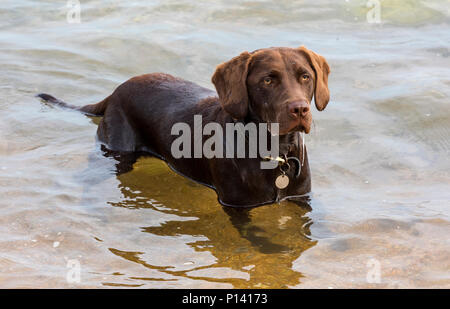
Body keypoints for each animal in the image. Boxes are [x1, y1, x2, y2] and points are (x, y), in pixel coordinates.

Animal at [37, 45, 330, 207]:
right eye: (268, 80)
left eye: (305, 76)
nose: (300, 109)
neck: (275, 150)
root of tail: (115, 91)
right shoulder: (234, 206)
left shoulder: (301, 199)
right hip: (118, 151)